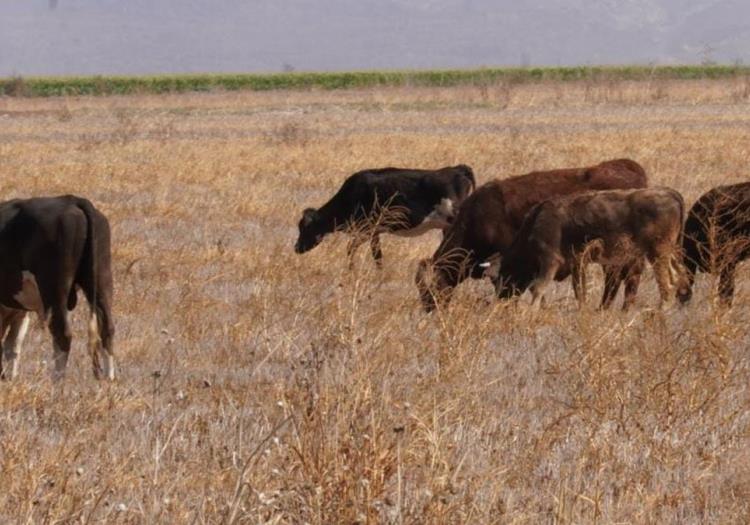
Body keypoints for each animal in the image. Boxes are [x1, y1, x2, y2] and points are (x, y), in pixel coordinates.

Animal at [0, 196, 114, 380]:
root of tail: (72, 200)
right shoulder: (18, 310)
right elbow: (13, 345)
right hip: (101, 281)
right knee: (107, 329)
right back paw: (109, 382)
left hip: (54, 289)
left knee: (62, 334)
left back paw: (57, 383)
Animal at [294, 165, 476, 266]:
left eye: (305, 228)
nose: (297, 248)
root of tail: (457, 169)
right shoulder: (375, 232)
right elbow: (376, 255)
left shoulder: (367, 228)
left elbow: (354, 249)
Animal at [494, 186, 692, 310]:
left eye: (502, 277)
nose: (501, 300)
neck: (537, 220)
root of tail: (670, 192)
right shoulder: (577, 264)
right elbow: (579, 291)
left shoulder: (550, 261)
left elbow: (538, 288)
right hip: (669, 252)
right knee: (678, 276)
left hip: (657, 253)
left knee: (667, 284)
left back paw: (660, 309)